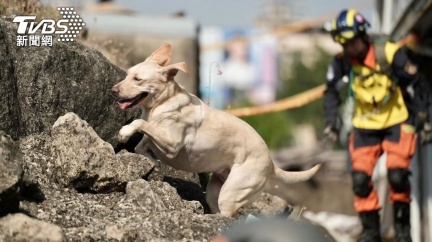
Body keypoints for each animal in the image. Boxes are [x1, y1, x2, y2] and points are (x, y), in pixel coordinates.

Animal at [111, 43, 320, 217]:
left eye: (138, 79)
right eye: (127, 74)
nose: (113, 90)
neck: (163, 103)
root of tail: (271, 162)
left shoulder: (172, 144)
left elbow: (140, 124)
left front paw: (125, 132)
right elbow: (141, 144)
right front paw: (151, 158)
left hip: (231, 193)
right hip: (214, 193)